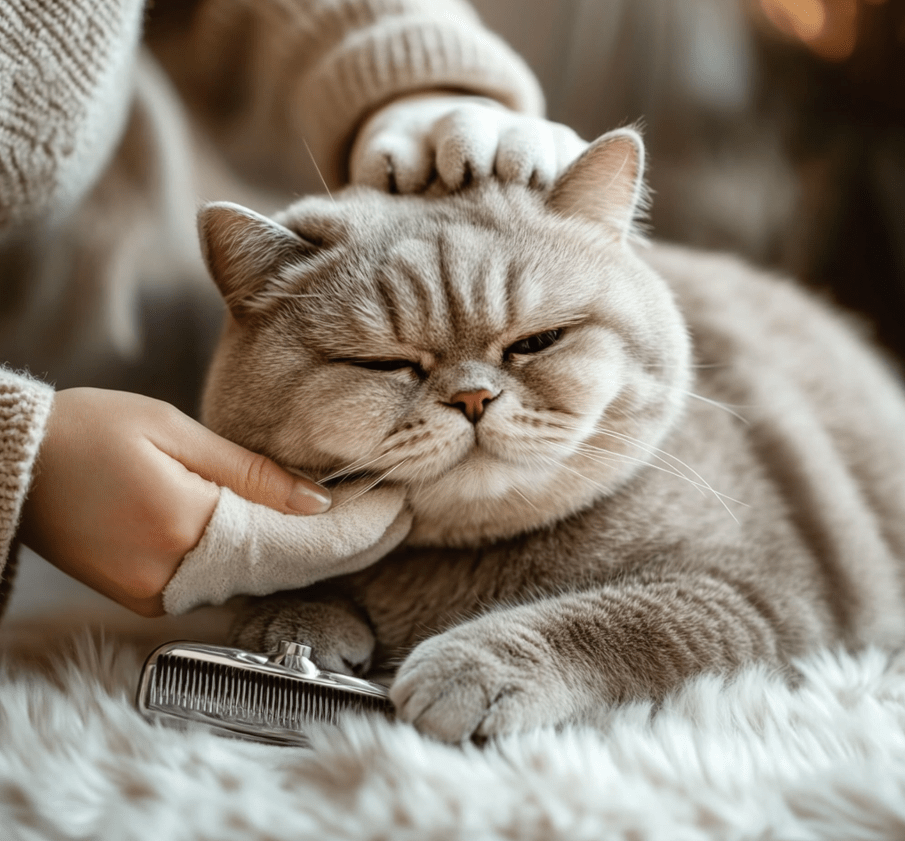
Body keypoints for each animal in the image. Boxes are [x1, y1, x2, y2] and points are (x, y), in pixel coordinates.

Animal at [196, 130, 904, 740]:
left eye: (536, 343)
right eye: (384, 364)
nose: (473, 397)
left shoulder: (760, 595)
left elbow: (616, 624)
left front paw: (470, 667)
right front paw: (295, 628)